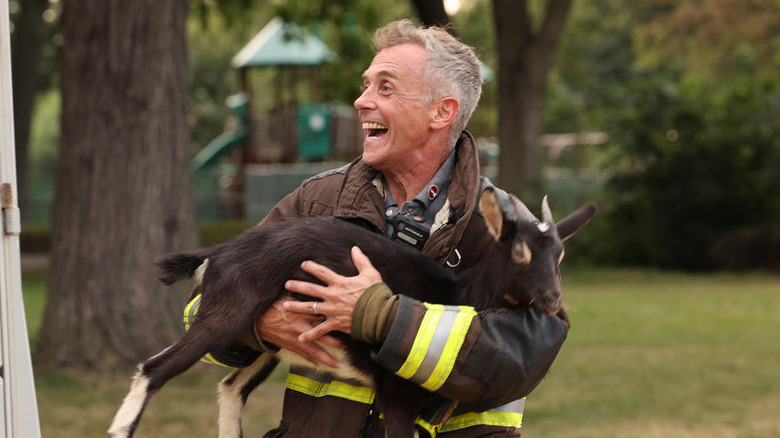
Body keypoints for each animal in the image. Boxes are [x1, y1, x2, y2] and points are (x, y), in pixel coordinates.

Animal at [108, 188, 596, 438]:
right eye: (519, 252)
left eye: (560, 254)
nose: (553, 301)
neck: (461, 293)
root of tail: (219, 251)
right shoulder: (397, 399)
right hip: (229, 311)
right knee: (156, 367)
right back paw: (120, 428)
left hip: (266, 342)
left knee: (231, 387)